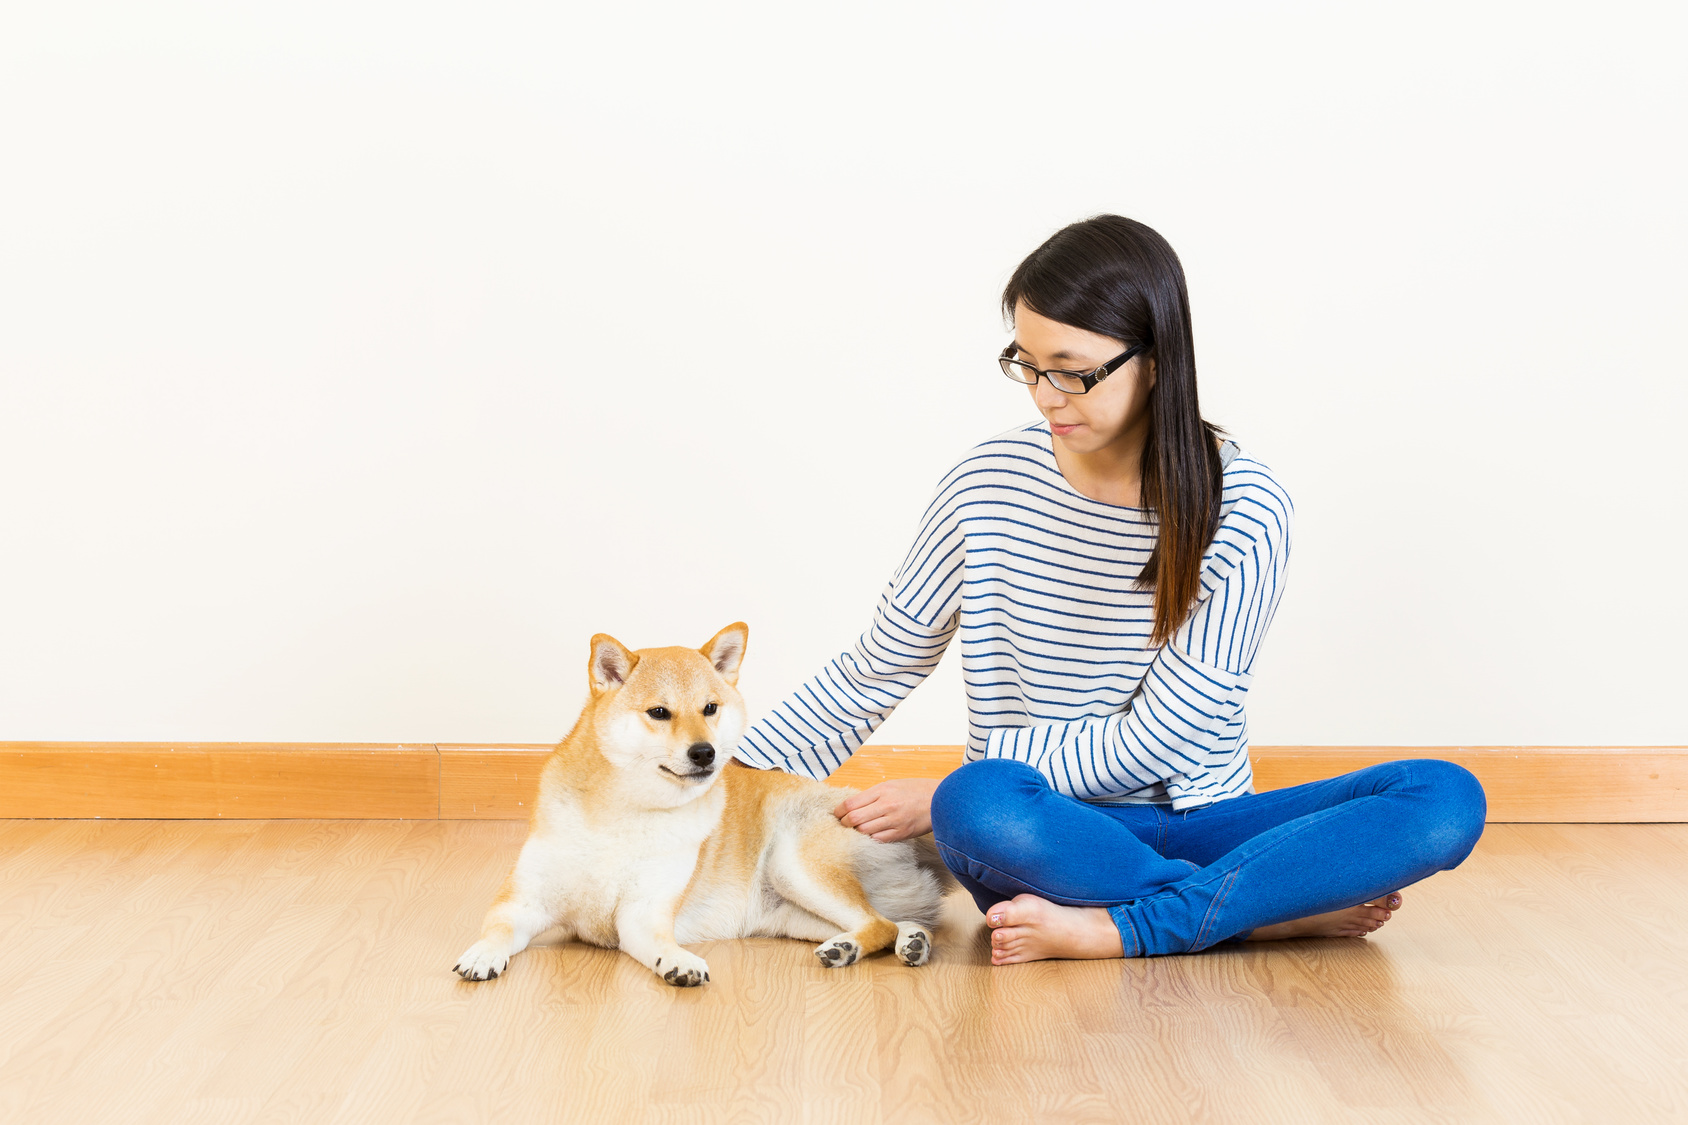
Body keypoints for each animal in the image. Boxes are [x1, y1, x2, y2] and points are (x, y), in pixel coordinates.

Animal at [452, 621, 952, 979]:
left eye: (710, 708)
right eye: (659, 712)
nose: (705, 753)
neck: (624, 812)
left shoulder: (644, 914)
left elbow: (660, 943)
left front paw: (679, 962)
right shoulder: (523, 902)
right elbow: (496, 928)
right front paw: (481, 954)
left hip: (793, 867)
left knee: (878, 923)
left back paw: (857, 948)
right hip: (792, 912)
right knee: (892, 923)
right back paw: (908, 942)